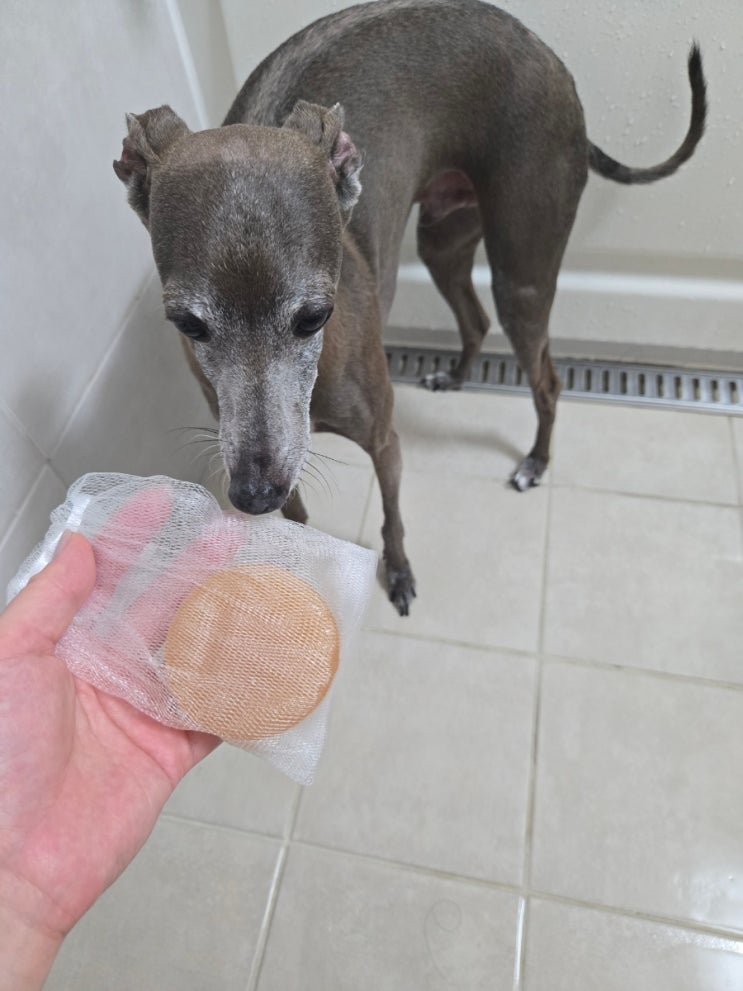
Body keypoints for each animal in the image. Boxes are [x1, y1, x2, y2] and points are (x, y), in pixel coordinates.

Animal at [114, 0, 706, 616]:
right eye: (187, 324)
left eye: (314, 317)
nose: (253, 496)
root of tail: (548, 57)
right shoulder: (278, 459)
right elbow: (301, 519)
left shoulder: (382, 440)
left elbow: (392, 516)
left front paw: (397, 573)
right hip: (444, 239)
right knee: (475, 319)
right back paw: (457, 376)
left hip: (522, 269)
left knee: (547, 378)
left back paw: (535, 463)